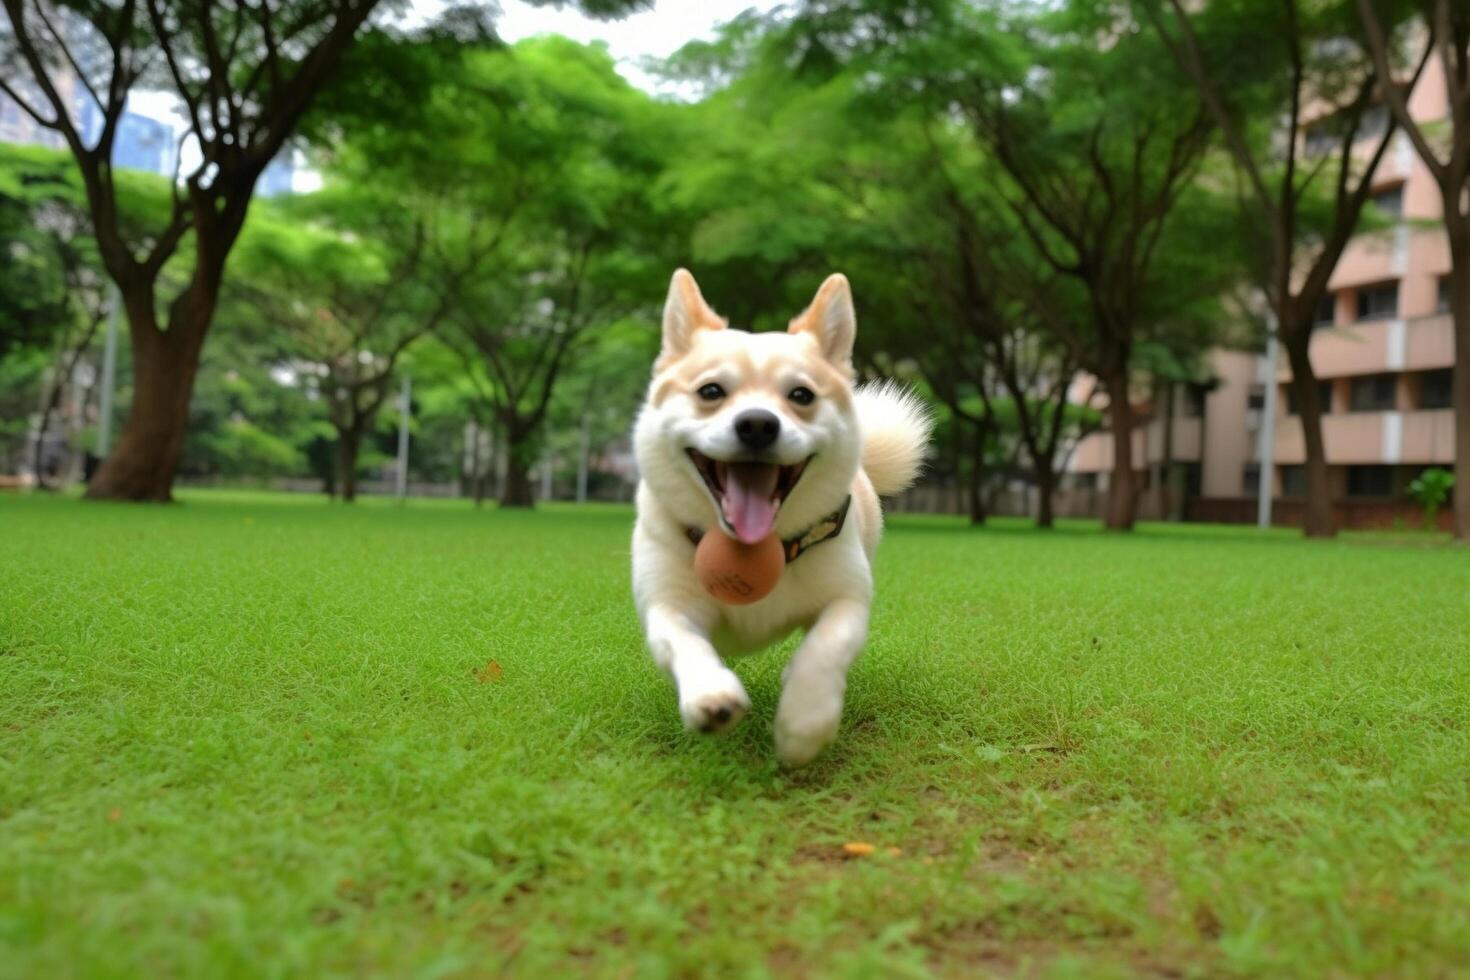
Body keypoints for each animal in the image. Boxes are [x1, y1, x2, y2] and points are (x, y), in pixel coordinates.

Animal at [632, 268, 929, 764]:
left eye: (801, 395)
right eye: (711, 391)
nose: (757, 423)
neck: (757, 547)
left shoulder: (847, 599)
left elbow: (824, 648)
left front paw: (803, 725)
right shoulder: (667, 605)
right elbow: (686, 644)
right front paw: (710, 696)